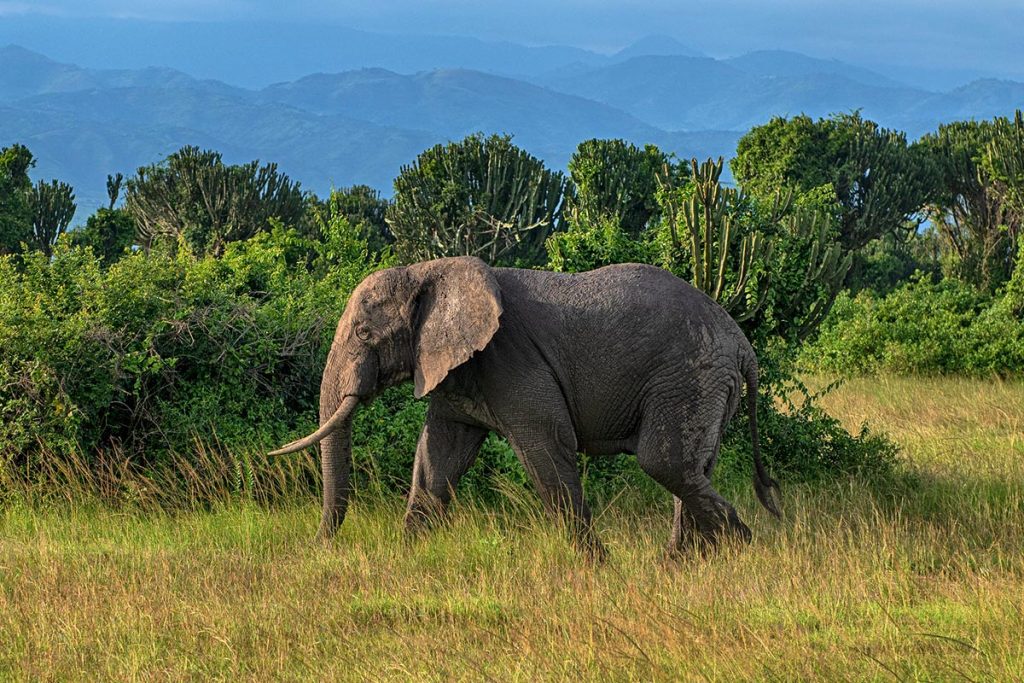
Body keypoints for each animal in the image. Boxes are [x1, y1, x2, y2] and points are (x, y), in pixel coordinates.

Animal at [268, 253, 778, 557]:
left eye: (363, 333)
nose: (319, 547)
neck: (432, 269)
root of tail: (743, 347)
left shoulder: (511, 360)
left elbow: (546, 450)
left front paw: (596, 567)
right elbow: (436, 459)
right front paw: (406, 557)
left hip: (691, 375)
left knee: (666, 462)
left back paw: (745, 549)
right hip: (703, 384)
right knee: (691, 468)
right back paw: (683, 564)